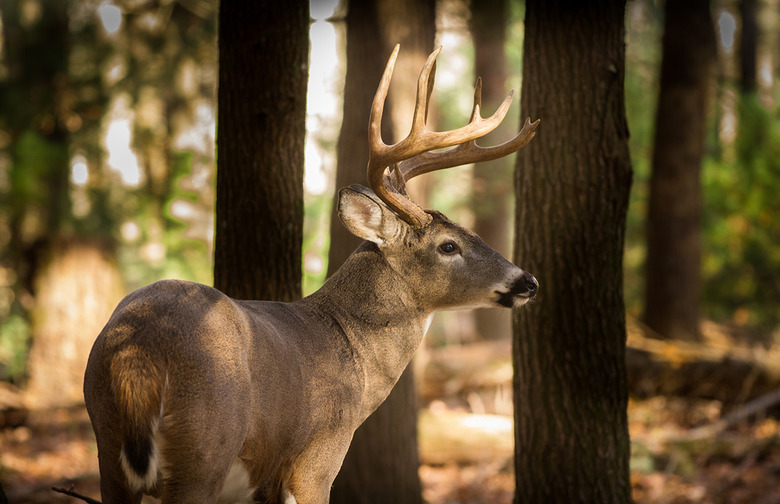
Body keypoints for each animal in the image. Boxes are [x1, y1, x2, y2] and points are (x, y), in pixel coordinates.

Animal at [83, 44, 539, 504]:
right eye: (448, 245)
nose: (528, 282)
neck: (351, 348)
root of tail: (139, 345)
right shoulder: (320, 456)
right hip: (204, 446)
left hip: (107, 442)